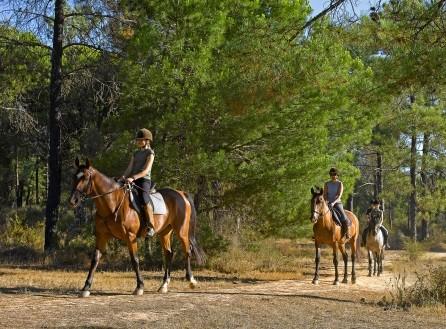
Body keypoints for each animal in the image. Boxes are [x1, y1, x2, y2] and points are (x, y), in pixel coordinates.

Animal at [69, 158, 205, 296]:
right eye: (74, 176)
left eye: (85, 177)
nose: (73, 201)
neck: (112, 203)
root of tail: (180, 193)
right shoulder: (102, 236)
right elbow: (95, 260)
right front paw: (86, 288)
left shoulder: (130, 236)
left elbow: (135, 259)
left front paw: (139, 286)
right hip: (165, 232)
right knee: (169, 253)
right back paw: (164, 285)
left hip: (181, 231)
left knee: (187, 251)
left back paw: (191, 280)